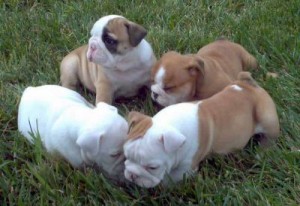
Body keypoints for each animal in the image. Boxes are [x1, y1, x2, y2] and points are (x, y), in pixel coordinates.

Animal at [123, 71, 278, 187]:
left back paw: (263, 151)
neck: (169, 125)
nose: (132, 175)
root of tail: (248, 85)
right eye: (126, 156)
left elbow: (171, 180)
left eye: (152, 168)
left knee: (270, 136)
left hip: (267, 118)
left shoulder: (185, 167)